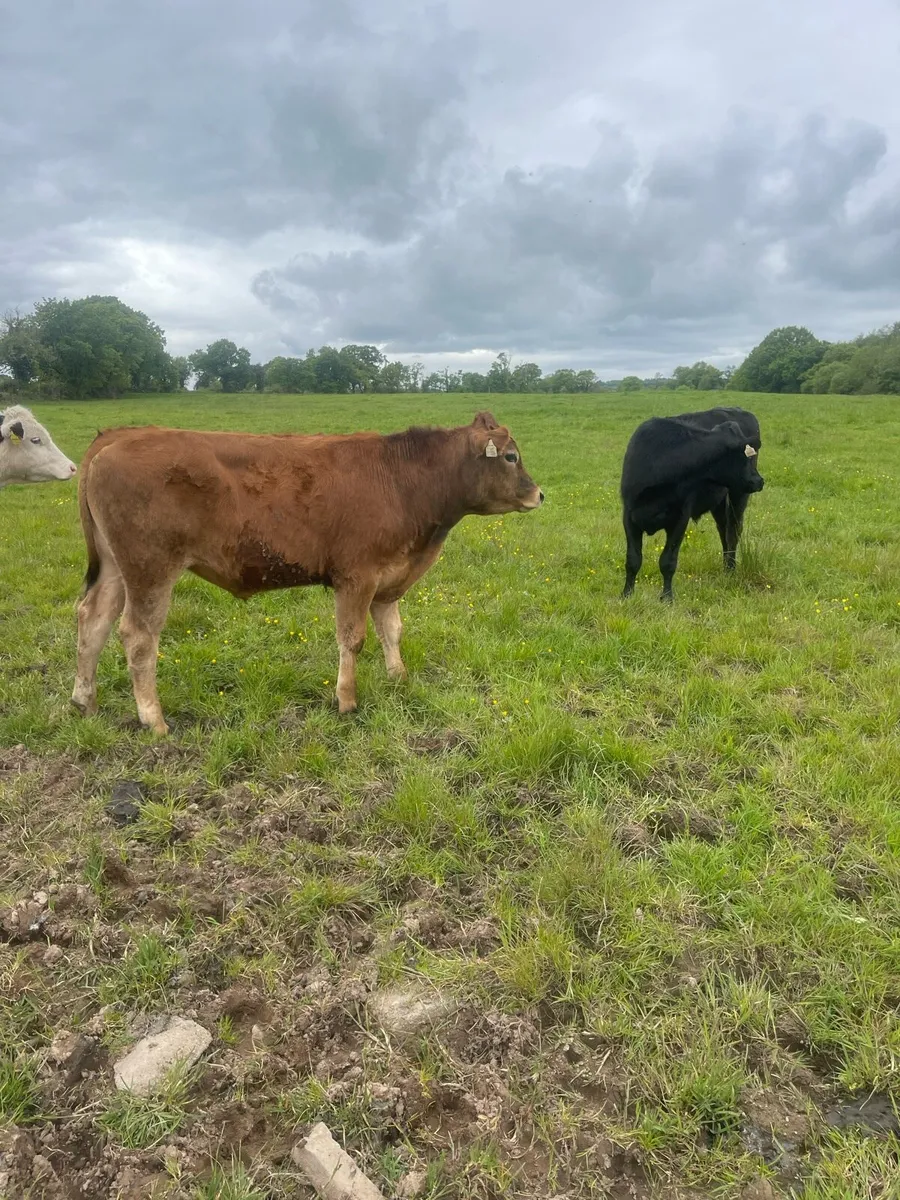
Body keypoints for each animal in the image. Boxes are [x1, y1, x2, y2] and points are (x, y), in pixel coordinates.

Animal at [71, 411, 543, 733]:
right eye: (510, 456)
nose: (539, 494)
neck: (404, 481)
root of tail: (120, 436)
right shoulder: (356, 576)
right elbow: (353, 639)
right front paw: (347, 701)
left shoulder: (389, 580)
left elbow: (392, 630)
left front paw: (399, 679)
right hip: (150, 569)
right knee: (137, 636)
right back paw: (153, 720)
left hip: (115, 569)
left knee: (92, 620)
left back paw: (84, 702)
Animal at [620, 406, 764, 602]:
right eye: (744, 457)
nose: (759, 481)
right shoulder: (629, 516)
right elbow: (633, 559)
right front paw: (626, 594)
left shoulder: (680, 518)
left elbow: (668, 561)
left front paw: (667, 598)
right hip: (720, 501)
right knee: (723, 530)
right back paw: (725, 568)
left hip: (738, 494)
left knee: (733, 532)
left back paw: (731, 570)